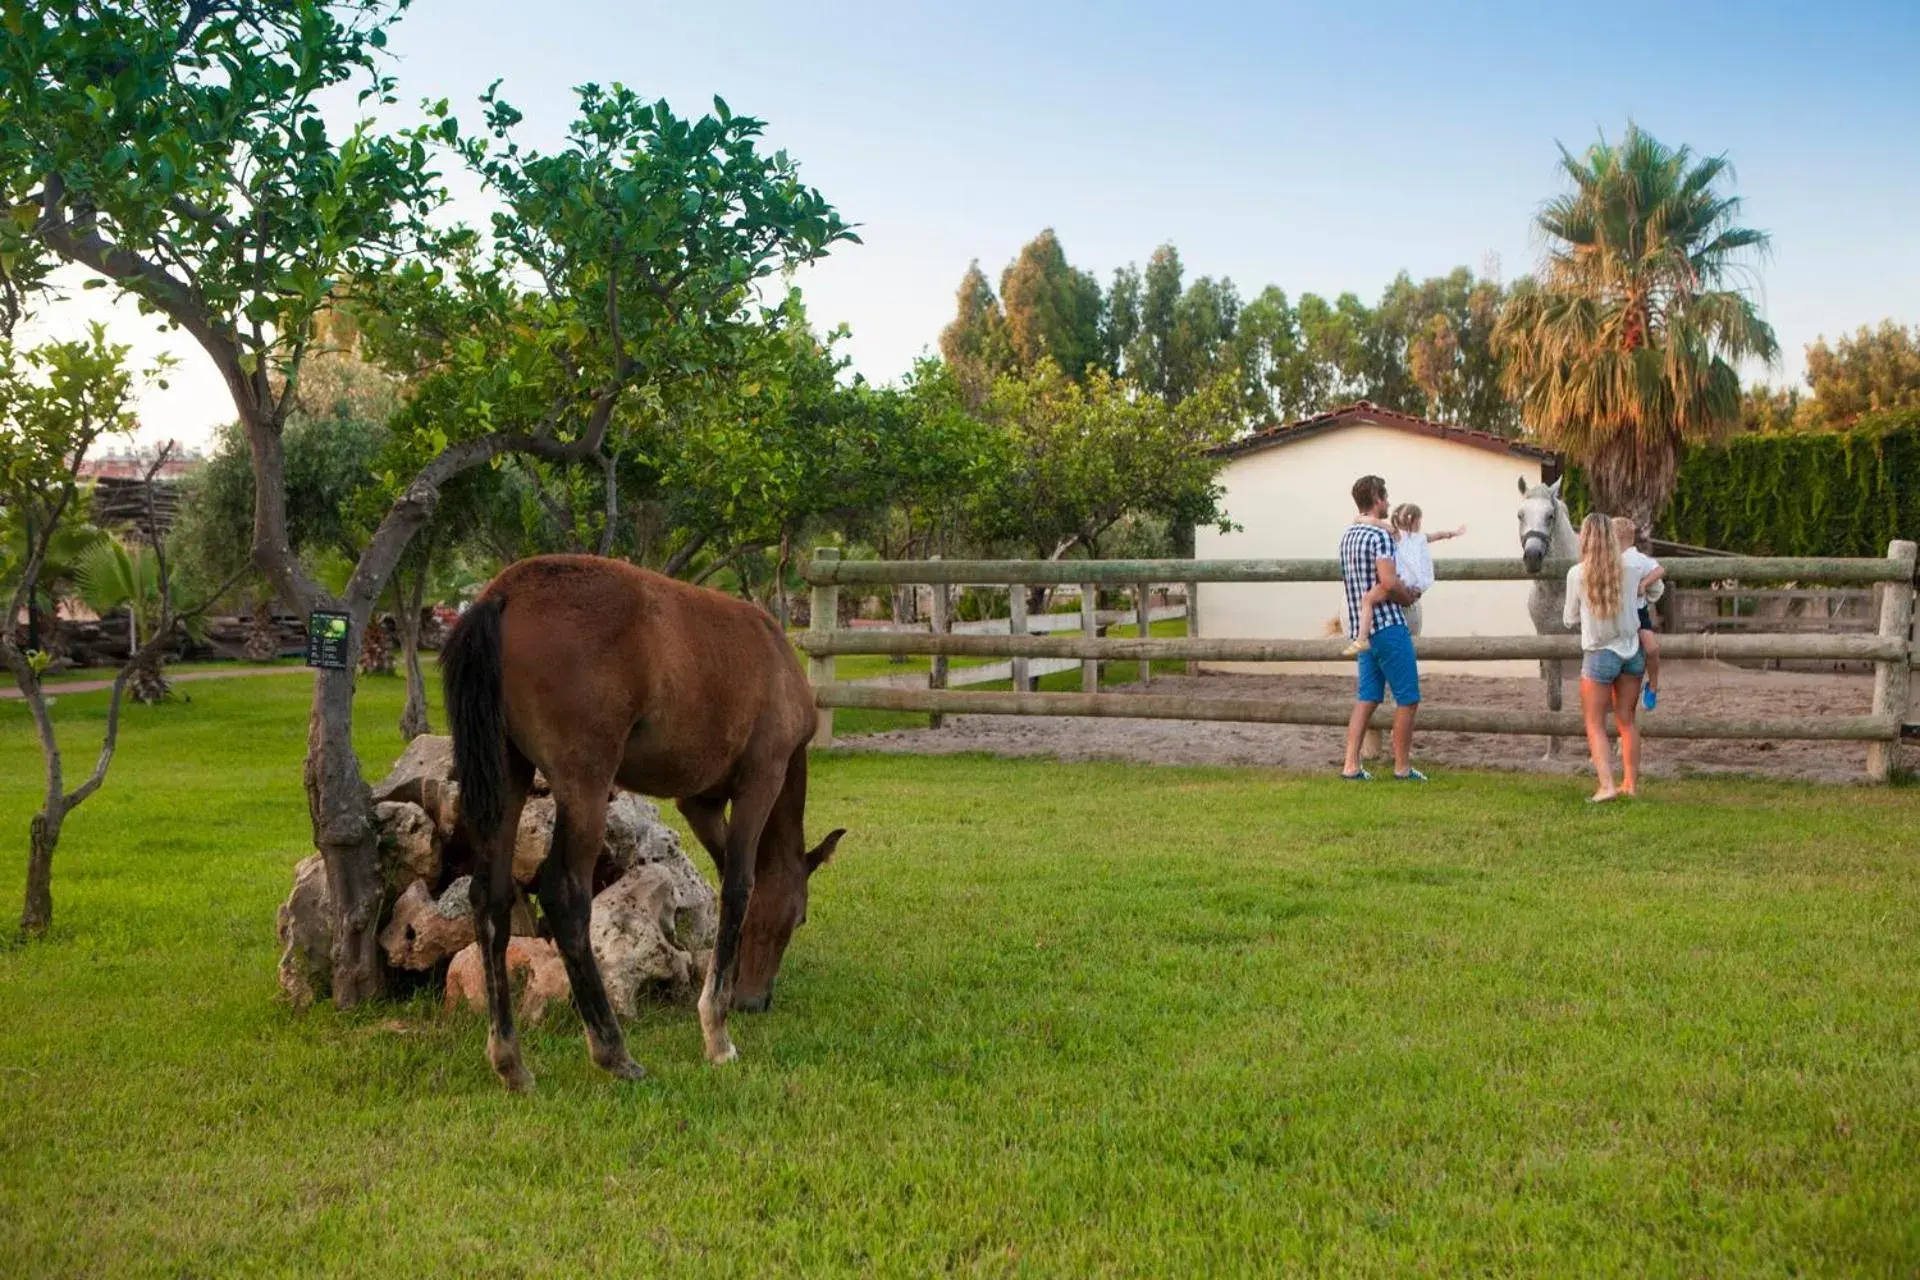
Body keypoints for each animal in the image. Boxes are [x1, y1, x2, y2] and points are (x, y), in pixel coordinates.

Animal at [449, 552, 848, 1090]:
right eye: (799, 917)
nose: (753, 1001)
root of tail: (504, 593)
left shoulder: (698, 803)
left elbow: (728, 878)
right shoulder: (761, 780)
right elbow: (740, 886)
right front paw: (717, 1032)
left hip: (508, 774)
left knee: (488, 897)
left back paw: (511, 1062)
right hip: (585, 783)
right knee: (565, 896)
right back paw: (613, 1052)